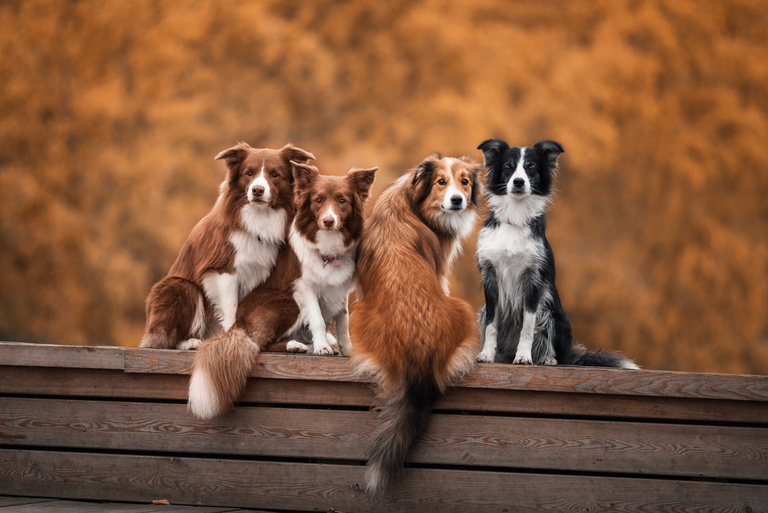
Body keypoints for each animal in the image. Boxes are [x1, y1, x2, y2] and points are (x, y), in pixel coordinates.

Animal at [140, 142, 314, 350]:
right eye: (249, 173)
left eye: (275, 175)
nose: (257, 190)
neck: (257, 217)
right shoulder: (223, 269)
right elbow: (231, 309)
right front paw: (232, 339)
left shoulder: (258, 272)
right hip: (180, 286)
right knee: (167, 340)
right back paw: (191, 342)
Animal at [188, 162, 376, 418]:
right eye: (318, 200)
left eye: (342, 201)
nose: (328, 221)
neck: (327, 248)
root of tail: (237, 322)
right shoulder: (304, 287)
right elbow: (318, 319)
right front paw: (322, 348)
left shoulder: (340, 290)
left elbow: (343, 324)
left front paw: (347, 350)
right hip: (287, 303)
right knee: (262, 344)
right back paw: (296, 346)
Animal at [352, 153, 484, 492]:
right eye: (441, 182)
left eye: (465, 181)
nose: (457, 200)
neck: (413, 200)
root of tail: (419, 357)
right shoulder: (440, 268)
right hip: (463, 309)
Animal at [476, 137, 640, 368]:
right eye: (508, 167)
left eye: (531, 167)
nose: (518, 182)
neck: (516, 217)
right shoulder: (490, 279)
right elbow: (492, 325)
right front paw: (487, 355)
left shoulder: (533, 282)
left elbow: (528, 327)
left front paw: (523, 356)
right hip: (484, 310)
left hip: (552, 313)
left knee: (557, 351)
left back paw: (547, 358)